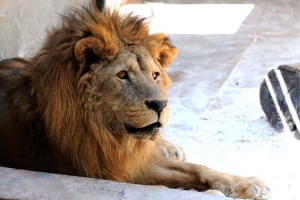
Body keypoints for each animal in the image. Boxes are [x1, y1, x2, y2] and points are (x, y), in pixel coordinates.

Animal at [0, 1, 270, 198]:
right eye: (122, 75)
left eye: (155, 75)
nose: (161, 105)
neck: (106, 134)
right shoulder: (109, 169)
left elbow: (196, 167)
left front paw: (245, 183)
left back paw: (168, 146)